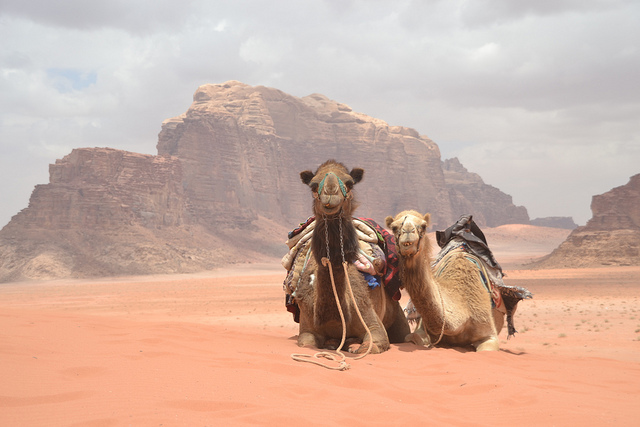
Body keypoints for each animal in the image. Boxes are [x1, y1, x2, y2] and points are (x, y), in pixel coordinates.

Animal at [293, 160, 410, 354]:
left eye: (349, 183)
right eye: (313, 185)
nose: (330, 192)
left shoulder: (373, 325)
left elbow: (369, 346)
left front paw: (355, 347)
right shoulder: (307, 327)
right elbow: (307, 344)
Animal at [385, 210, 505, 351]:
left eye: (424, 226)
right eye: (394, 227)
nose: (408, 231)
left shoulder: (489, 334)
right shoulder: (422, 328)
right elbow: (412, 337)